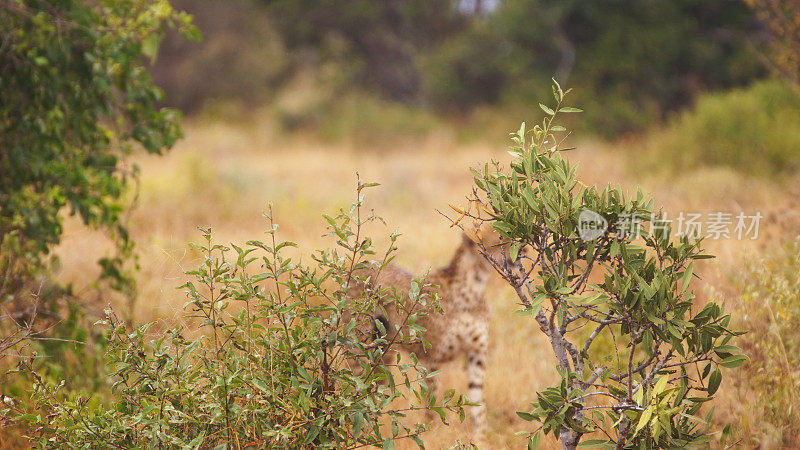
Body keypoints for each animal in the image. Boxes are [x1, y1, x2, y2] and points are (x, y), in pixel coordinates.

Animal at [348, 227, 506, 442]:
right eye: (498, 239)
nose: (522, 248)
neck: (474, 286)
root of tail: (360, 264)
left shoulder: (476, 355)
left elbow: (478, 405)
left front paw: (480, 440)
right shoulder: (430, 356)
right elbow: (431, 401)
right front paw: (430, 434)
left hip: (384, 351)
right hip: (360, 348)